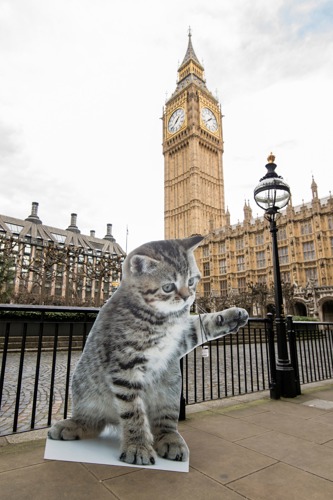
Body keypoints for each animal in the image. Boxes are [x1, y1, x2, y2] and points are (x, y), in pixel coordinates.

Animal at [48, 237, 246, 464]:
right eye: (168, 287)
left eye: (191, 281)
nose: (187, 297)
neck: (161, 317)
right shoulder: (125, 367)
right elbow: (133, 412)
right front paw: (137, 446)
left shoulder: (179, 339)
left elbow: (201, 324)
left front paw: (230, 316)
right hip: (85, 389)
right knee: (94, 421)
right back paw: (74, 425)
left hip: (169, 391)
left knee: (164, 423)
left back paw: (171, 440)